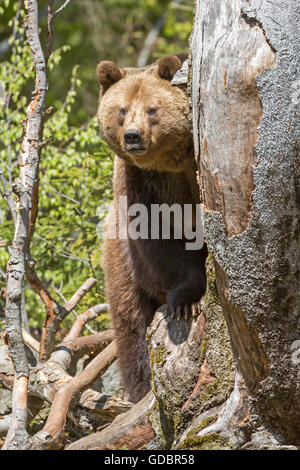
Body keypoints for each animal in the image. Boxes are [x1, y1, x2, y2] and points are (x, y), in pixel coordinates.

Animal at [97, 53, 207, 402]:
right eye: (121, 110)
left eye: (152, 109)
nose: (133, 136)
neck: (172, 162)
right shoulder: (141, 185)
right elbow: (160, 243)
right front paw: (185, 300)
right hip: (122, 269)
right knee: (131, 330)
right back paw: (141, 385)